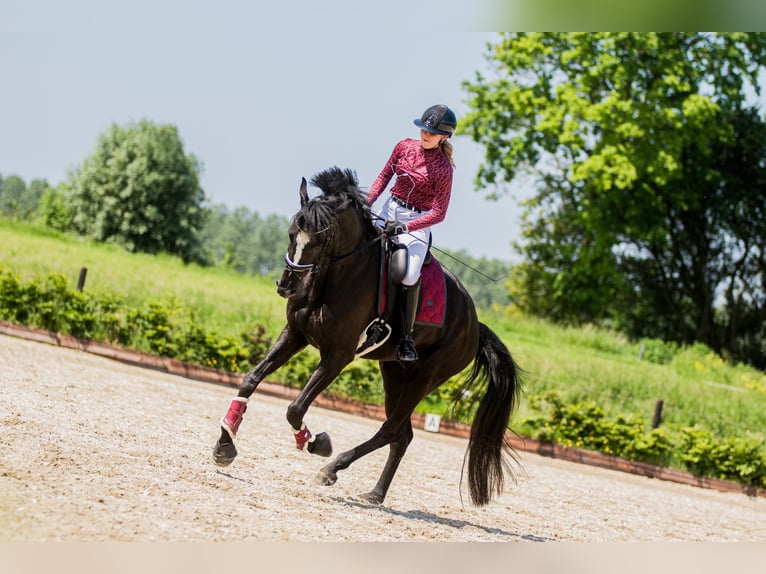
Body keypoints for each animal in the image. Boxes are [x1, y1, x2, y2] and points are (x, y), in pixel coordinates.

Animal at [216, 168, 528, 508]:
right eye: (291, 232)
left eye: (322, 238)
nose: (287, 285)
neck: (335, 279)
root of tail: (475, 324)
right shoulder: (295, 335)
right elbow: (250, 380)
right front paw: (225, 445)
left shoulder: (338, 355)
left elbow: (295, 408)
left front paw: (315, 442)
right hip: (394, 373)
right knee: (402, 436)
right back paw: (375, 493)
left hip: (425, 378)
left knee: (389, 430)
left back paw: (332, 468)